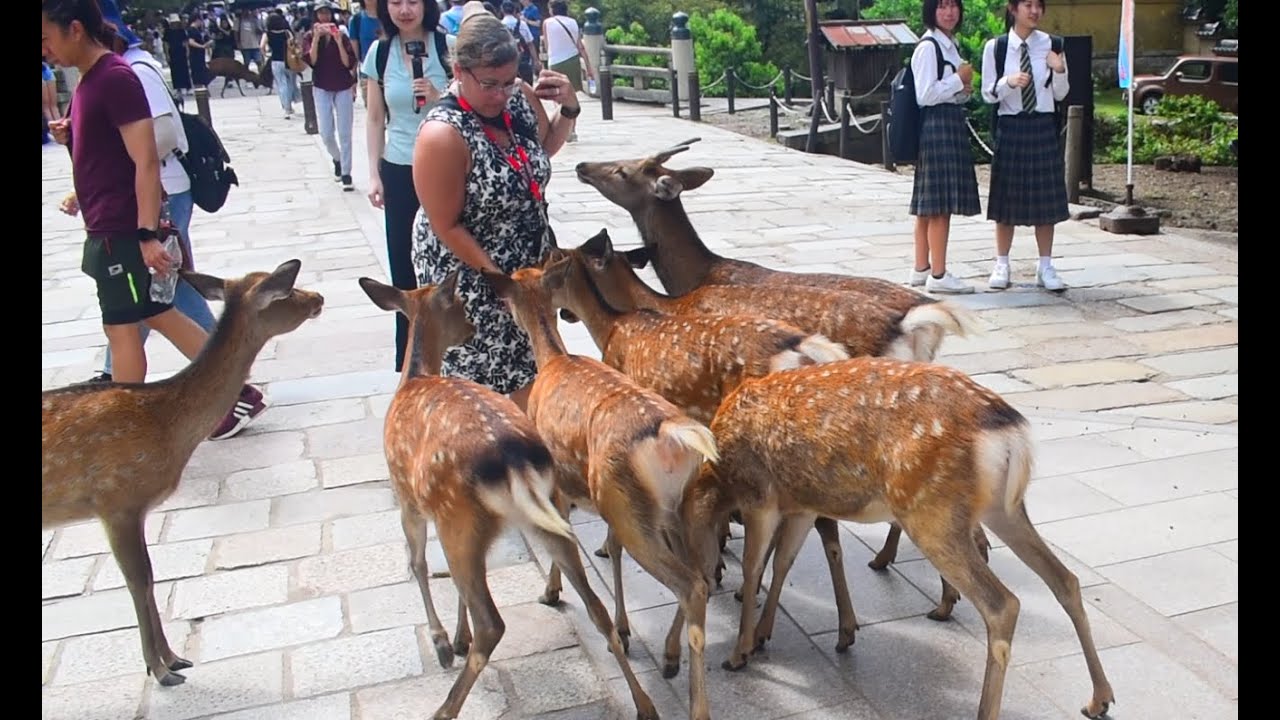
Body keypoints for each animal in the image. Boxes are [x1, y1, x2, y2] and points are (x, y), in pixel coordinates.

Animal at [41, 259, 323, 687]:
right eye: (287, 291)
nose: (318, 297)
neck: (167, 423)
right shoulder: (116, 500)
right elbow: (139, 578)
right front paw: (161, 668)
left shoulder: (131, 508)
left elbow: (148, 577)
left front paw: (174, 659)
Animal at [356, 272, 658, 720]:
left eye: (460, 303)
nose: (470, 329)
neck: (412, 378)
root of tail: (514, 461)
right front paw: (456, 638)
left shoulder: (407, 497)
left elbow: (417, 564)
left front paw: (443, 642)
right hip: (545, 514)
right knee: (596, 607)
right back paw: (644, 703)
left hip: (460, 519)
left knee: (492, 623)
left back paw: (444, 708)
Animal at [481, 261, 720, 720]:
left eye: (510, 288)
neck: (552, 361)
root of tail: (675, 435)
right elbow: (612, 549)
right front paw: (625, 629)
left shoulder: (556, 484)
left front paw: (551, 592)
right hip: (669, 504)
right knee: (701, 573)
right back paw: (669, 656)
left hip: (628, 504)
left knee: (690, 584)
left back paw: (693, 705)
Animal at [688, 356, 1116, 720]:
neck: (718, 474)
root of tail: (1012, 433)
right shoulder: (802, 504)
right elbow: (783, 561)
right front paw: (764, 634)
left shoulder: (760, 496)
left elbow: (753, 566)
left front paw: (739, 652)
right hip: (1002, 509)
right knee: (1065, 579)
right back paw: (1099, 698)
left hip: (931, 513)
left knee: (1003, 604)